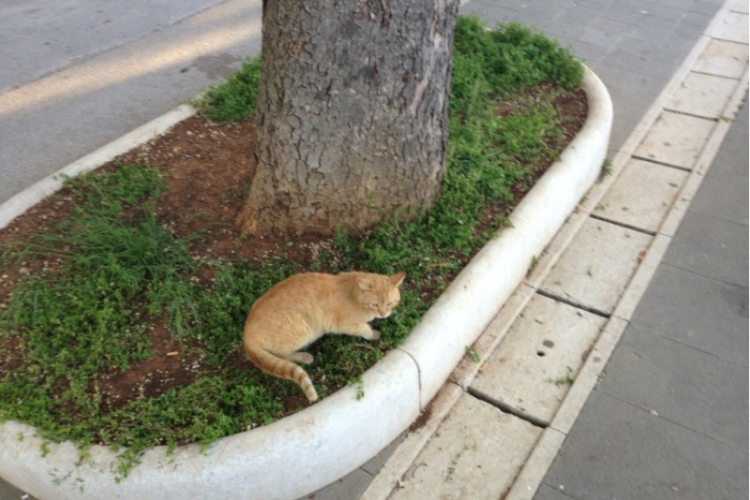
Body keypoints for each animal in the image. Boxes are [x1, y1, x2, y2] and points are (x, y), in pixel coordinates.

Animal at [245, 272, 406, 400]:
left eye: (390, 303)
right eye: (374, 304)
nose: (383, 314)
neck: (352, 293)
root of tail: (246, 337)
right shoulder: (341, 325)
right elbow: (363, 329)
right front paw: (373, 334)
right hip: (301, 328)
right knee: (282, 355)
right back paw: (304, 356)